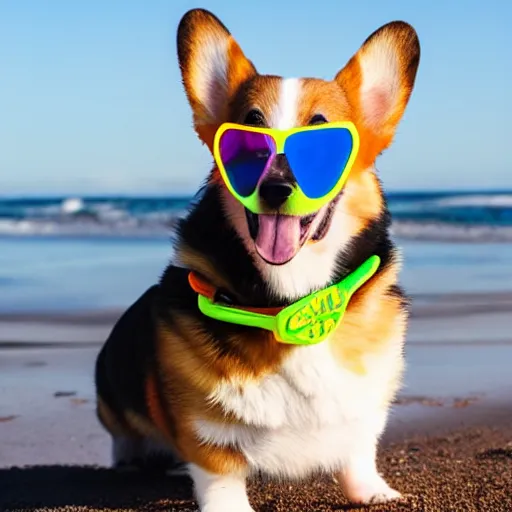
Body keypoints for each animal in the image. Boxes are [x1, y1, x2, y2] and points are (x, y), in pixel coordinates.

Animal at [95, 9, 420, 512]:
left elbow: (358, 449)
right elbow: (219, 468)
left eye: (321, 139)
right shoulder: (204, 428)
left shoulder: (366, 401)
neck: (291, 299)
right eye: (247, 138)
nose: (275, 189)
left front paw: (374, 491)